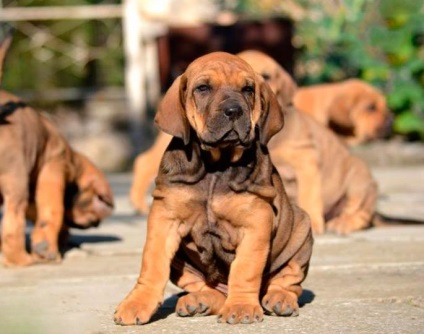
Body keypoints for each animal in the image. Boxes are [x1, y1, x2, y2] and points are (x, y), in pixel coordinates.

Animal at [0, 32, 114, 266]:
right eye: (94, 216)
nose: (96, 224)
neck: (73, 160)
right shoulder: (54, 167)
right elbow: (52, 212)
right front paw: (48, 250)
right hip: (15, 181)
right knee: (14, 217)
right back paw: (21, 260)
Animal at [114, 52, 314, 326]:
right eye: (203, 88)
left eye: (248, 89)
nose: (233, 111)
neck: (215, 167)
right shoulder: (164, 218)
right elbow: (152, 264)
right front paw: (136, 303)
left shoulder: (256, 223)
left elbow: (245, 269)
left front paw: (241, 307)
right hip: (183, 264)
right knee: (206, 289)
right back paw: (199, 301)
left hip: (301, 229)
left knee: (289, 280)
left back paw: (279, 299)